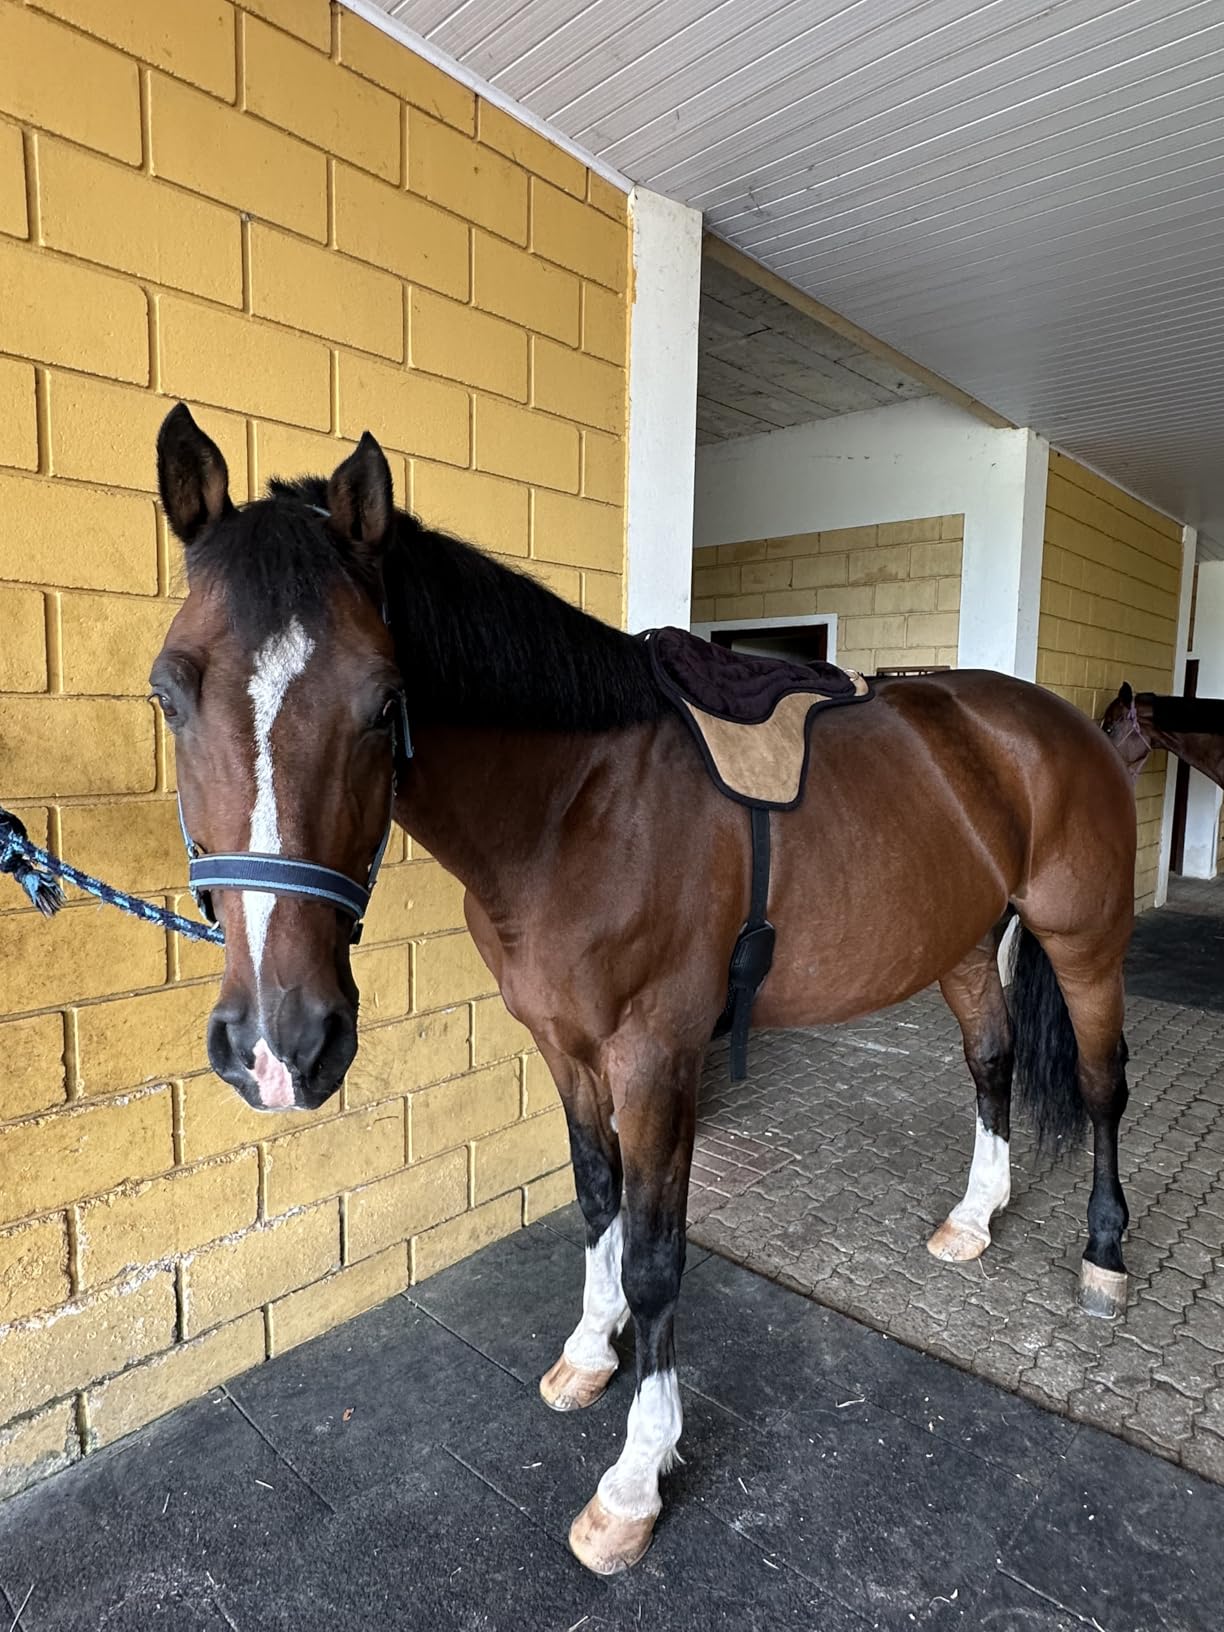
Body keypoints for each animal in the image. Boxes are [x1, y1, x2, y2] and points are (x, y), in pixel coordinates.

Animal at [150, 403, 1138, 1576]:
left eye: (385, 703)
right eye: (167, 692)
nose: (279, 1044)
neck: (577, 803)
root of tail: (1051, 724)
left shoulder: (659, 1059)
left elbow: (662, 1260)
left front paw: (634, 1479)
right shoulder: (565, 1047)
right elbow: (596, 1203)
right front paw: (589, 1351)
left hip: (1085, 941)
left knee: (1103, 1086)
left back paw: (1105, 1257)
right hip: (957, 945)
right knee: (990, 1061)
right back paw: (974, 1220)